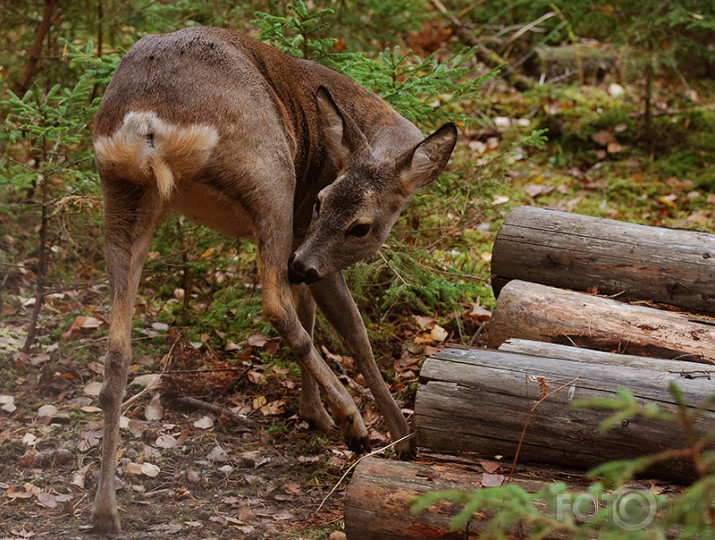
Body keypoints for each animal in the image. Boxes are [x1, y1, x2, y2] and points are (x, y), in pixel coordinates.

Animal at [91, 26, 458, 532]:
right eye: (321, 201)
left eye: (359, 226)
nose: (299, 267)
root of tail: (148, 121)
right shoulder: (306, 236)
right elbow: (354, 332)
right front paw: (402, 438)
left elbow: (316, 316)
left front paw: (314, 414)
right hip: (270, 174)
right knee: (276, 304)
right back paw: (354, 423)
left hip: (123, 194)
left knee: (116, 349)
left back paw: (106, 511)